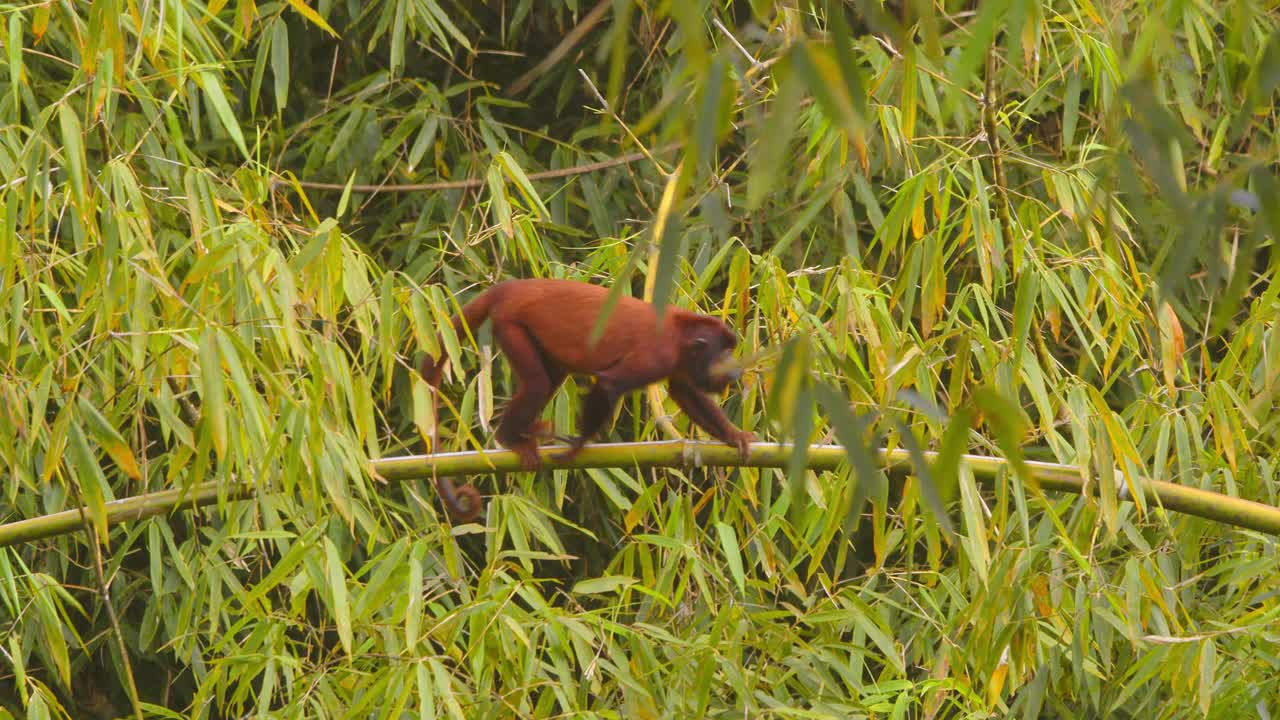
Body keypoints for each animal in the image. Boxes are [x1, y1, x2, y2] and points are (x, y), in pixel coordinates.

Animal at [419, 278, 756, 521]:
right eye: (724, 352)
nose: (736, 367)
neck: (681, 336)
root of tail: (511, 286)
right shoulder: (658, 356)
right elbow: (609, 384)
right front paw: (577, 447)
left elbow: (685, 392)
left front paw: (733, 436)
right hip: (510, 322)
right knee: (538, 384)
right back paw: (510, 437)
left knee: (551, 377)